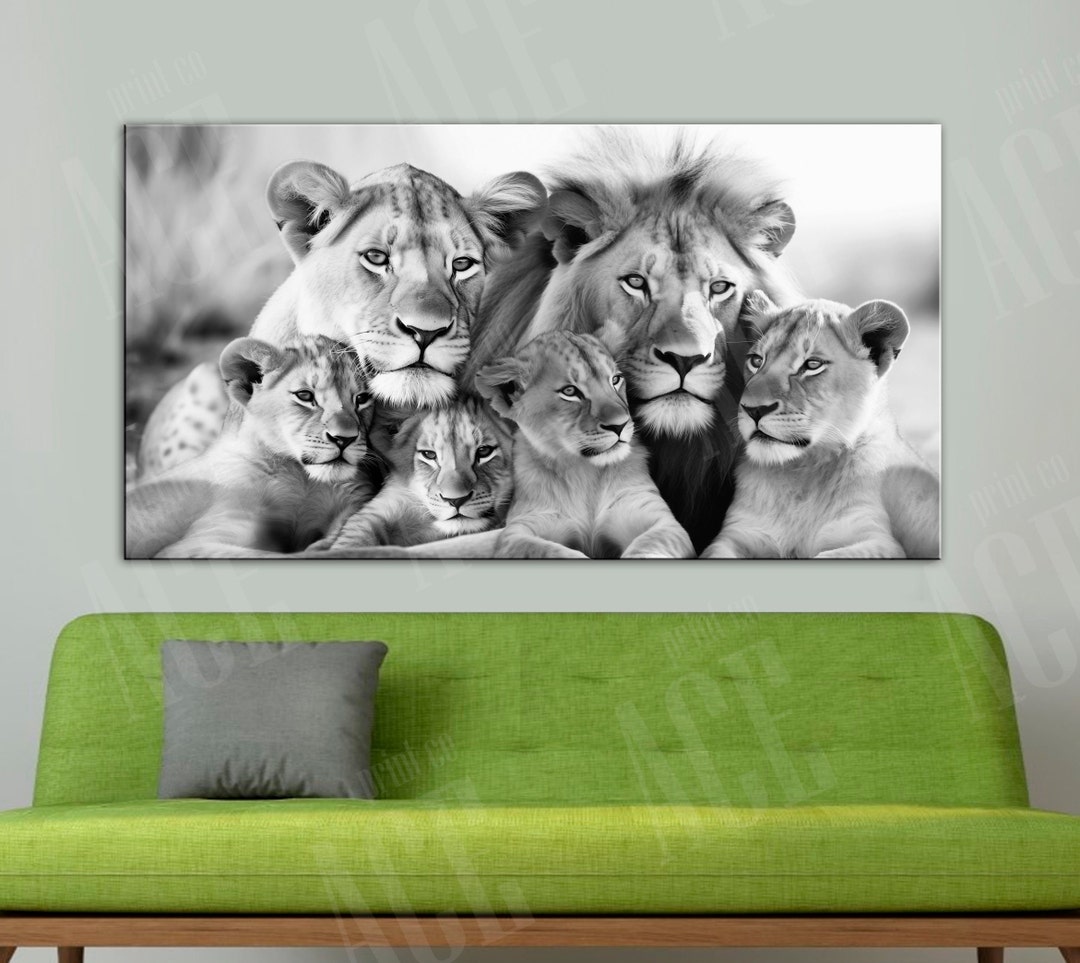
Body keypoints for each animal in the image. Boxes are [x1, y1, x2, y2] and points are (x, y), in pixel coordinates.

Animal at [126, 336, 381, 558]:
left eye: (362, 398)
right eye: (305, 396)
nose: (344, 439)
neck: (301, 477)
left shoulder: (354, 500)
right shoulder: (198, 541)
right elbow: (283, 557)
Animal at [475, 331, 694, 559]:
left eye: (615, 380)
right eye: (570, 391)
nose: (620, 424)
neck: (585, 472)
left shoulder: (661, 520)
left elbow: (648, 546)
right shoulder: (518, 530)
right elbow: (549, 551)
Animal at [700, 293, 940, 559]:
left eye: (812, 365)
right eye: (756, 360)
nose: (754, 410)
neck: (802, 471)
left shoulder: (878, 539)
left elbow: (829, 555)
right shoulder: (735, 534)